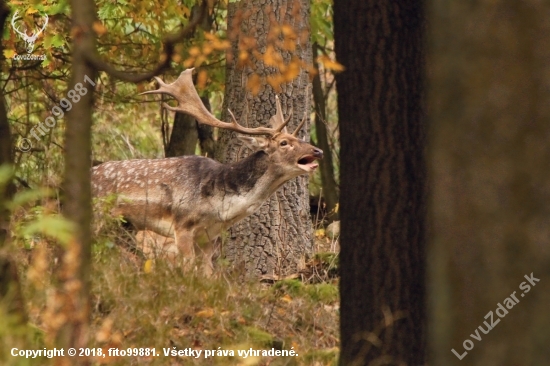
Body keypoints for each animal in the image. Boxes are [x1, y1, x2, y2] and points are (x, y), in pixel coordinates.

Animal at [90, 68, 324, 274]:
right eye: (284, 143)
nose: (318, 150)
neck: (219, 206)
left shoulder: (208, 236)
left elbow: (207, 274)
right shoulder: (182, 226)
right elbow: (188, 270)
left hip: (125, 228)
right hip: (100, 216)